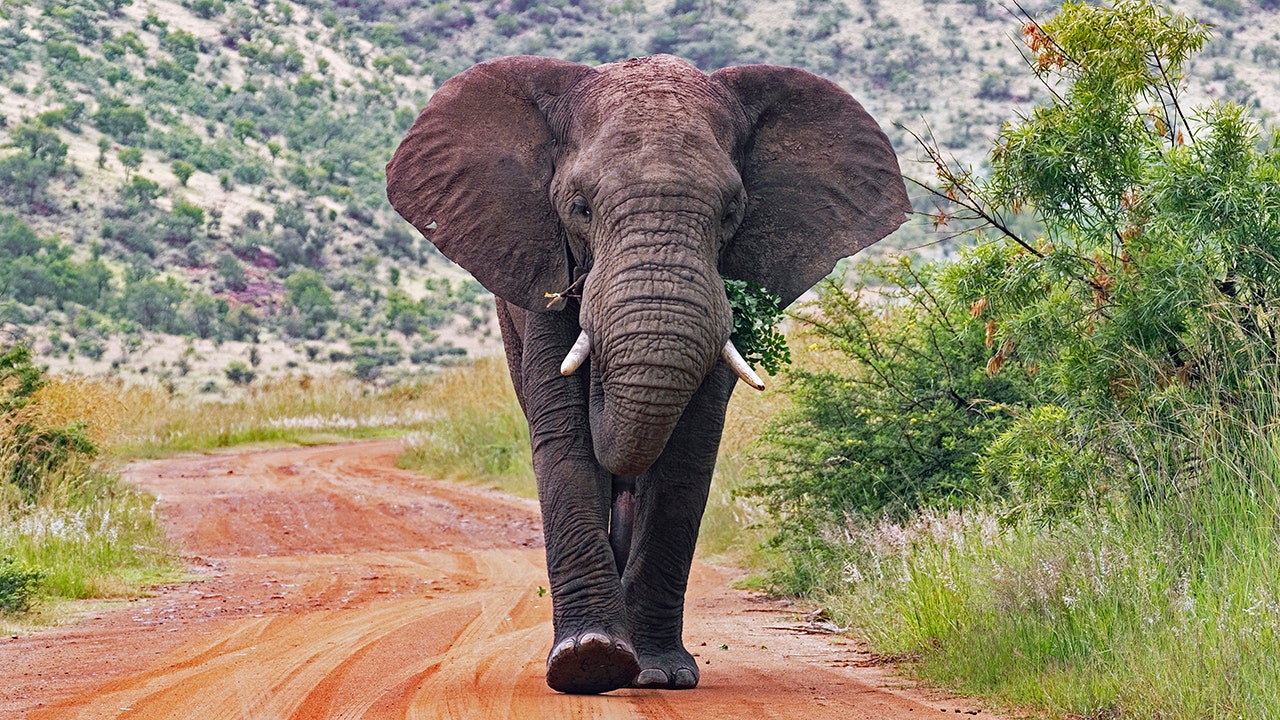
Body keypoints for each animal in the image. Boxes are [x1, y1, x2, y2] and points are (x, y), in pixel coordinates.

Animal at [384, 53, 906, 691]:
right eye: (580, 208)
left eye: (731, 213)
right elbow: (565, 437)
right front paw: (589, 662)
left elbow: (686, 451)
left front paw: (658, 674)